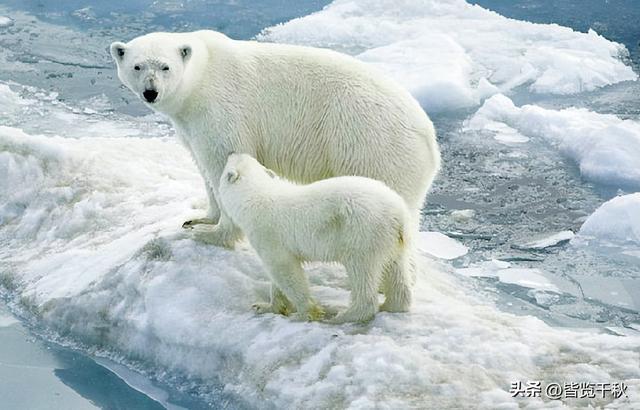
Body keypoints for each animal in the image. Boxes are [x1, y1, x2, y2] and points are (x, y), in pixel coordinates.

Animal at [110, 30, 440, 248]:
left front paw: (213, 234)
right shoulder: (189, 123)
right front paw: (199, 219)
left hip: (371, 146)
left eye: (165, 66)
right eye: (137, 66)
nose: (150, 92)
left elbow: (223, 161)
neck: (201, 77)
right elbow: (203, 167)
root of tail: (430, 141)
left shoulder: (221, 109)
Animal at [218, 153, 415, 323]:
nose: (232, 152)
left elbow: (285, 270)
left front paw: (304, 313)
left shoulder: (268, 234)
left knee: (361, 271)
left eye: (229, 161)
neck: (255, 197)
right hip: (391, 239)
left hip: (362, 233)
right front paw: (265, 306)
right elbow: (278, 278)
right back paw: (391, 304)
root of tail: (399, 213)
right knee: (395, 268)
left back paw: (344, 316)